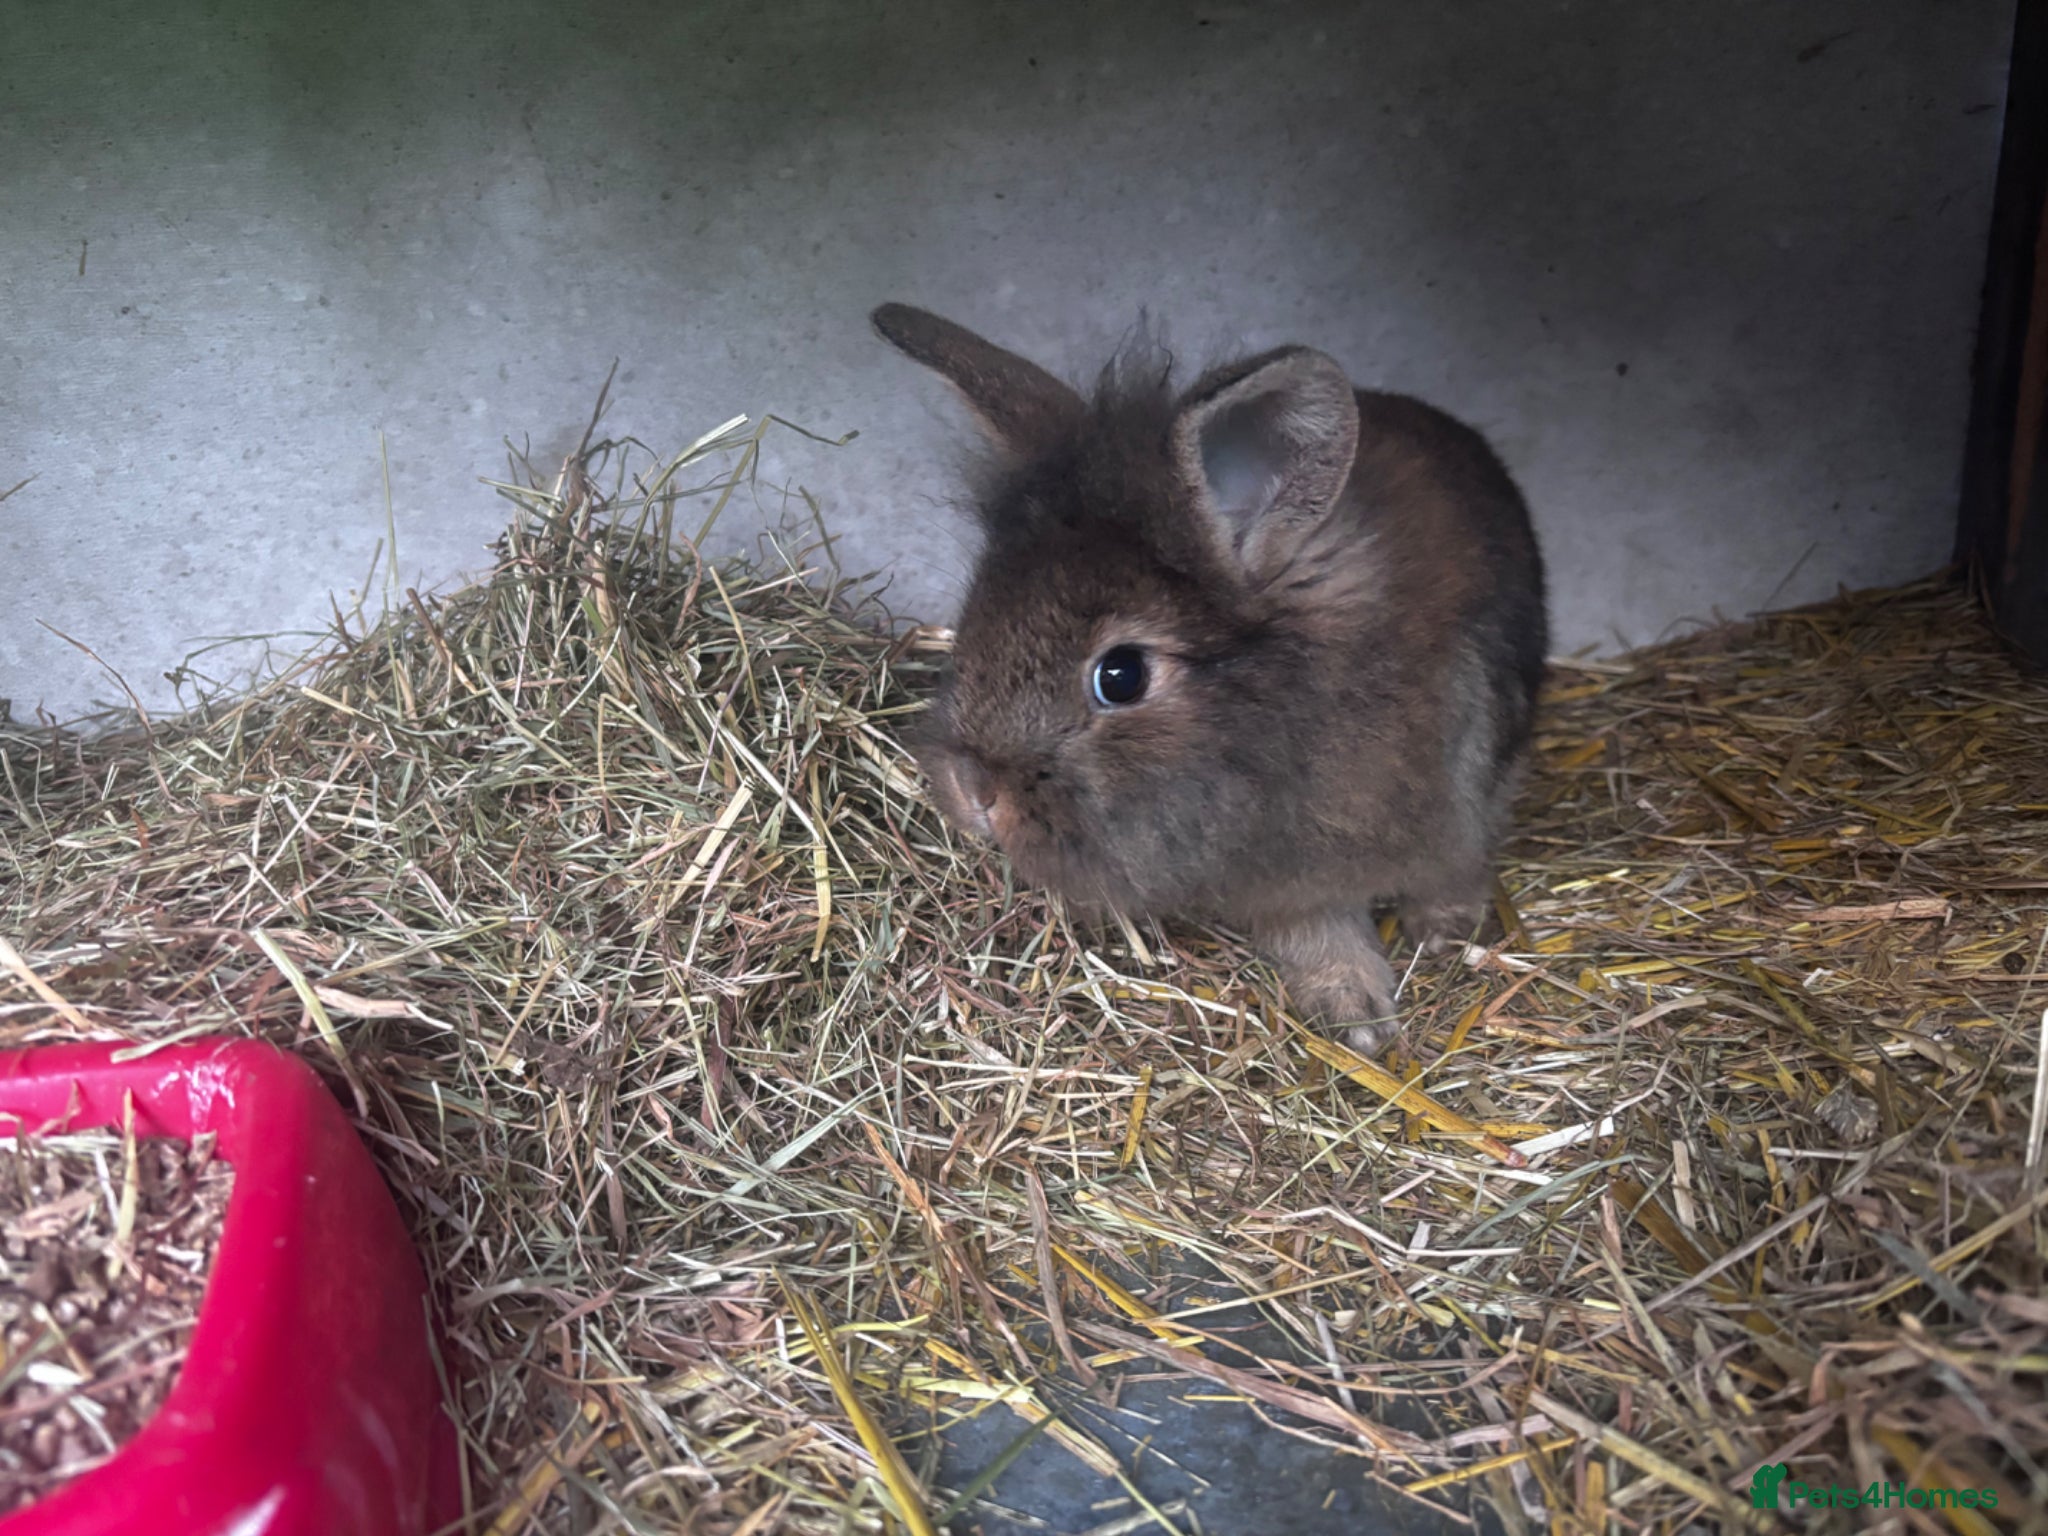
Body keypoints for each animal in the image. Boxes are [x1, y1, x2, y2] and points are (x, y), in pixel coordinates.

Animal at [872, 302, 1548, 1055]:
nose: (974, 793)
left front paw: (1447, 936)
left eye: (1121, 676)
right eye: (975, 617)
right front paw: (1356, 1016)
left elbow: (1455, 871)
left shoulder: (1470, 797)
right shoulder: (1286, 886)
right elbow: (1318, 933)